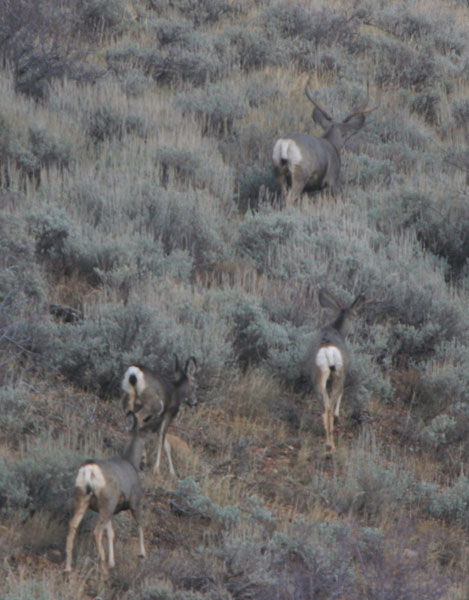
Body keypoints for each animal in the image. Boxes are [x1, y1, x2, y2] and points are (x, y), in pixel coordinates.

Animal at [64, 412, 159, 572]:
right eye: (145, 442)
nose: (145, 462)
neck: (131, 463)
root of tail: (90, 471)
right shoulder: (135, 501)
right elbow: (140, 525)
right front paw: (142, 554)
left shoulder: (112, 511)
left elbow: (111, 533)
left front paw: (112, 562)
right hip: (107, 502)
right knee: (96, 532)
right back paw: (102, 567)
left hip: (83, 498)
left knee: (72, 526)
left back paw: (68, 567)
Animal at [304, 290, 366, 454]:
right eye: (355, 314)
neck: (336, 329)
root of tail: (328, 351)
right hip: (339, 374)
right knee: (332, 404)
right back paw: (330, 444)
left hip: (318, 377)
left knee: (325, 406)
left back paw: (328, 442)